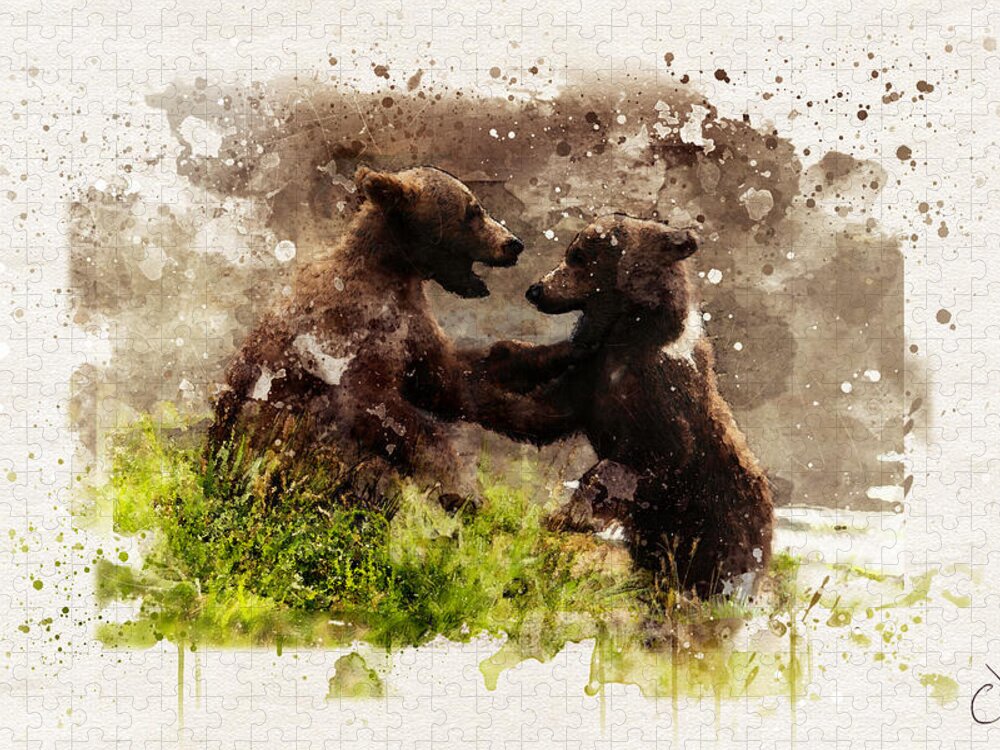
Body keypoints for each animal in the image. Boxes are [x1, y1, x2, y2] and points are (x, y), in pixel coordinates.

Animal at [209, 165, 526, 503]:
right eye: (473, 210)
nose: (513, 243)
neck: (395, 272)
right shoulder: (350, 330)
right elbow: (373, 403)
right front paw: (461, 487)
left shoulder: (413, 324)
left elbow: (445, 377)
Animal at [457, 214, 774, 597]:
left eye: (579, 256)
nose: (535, 289)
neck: (628, 341)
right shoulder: (592, 379)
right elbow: (543, 414)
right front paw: (474, 392)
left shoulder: (661, 395)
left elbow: (654, 455)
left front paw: (573, 513)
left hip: (723, 524)